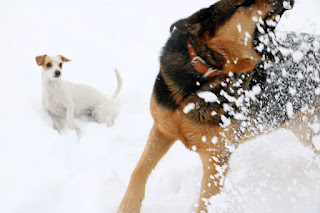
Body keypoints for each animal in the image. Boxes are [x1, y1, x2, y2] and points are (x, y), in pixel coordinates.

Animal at [118, 0, 320, 212]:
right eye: (244, 3)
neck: (204, 76)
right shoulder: (162, 128)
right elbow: (139, 170)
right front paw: (128, 205)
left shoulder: (216, 159)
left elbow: (206, 202)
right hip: (305, 129)